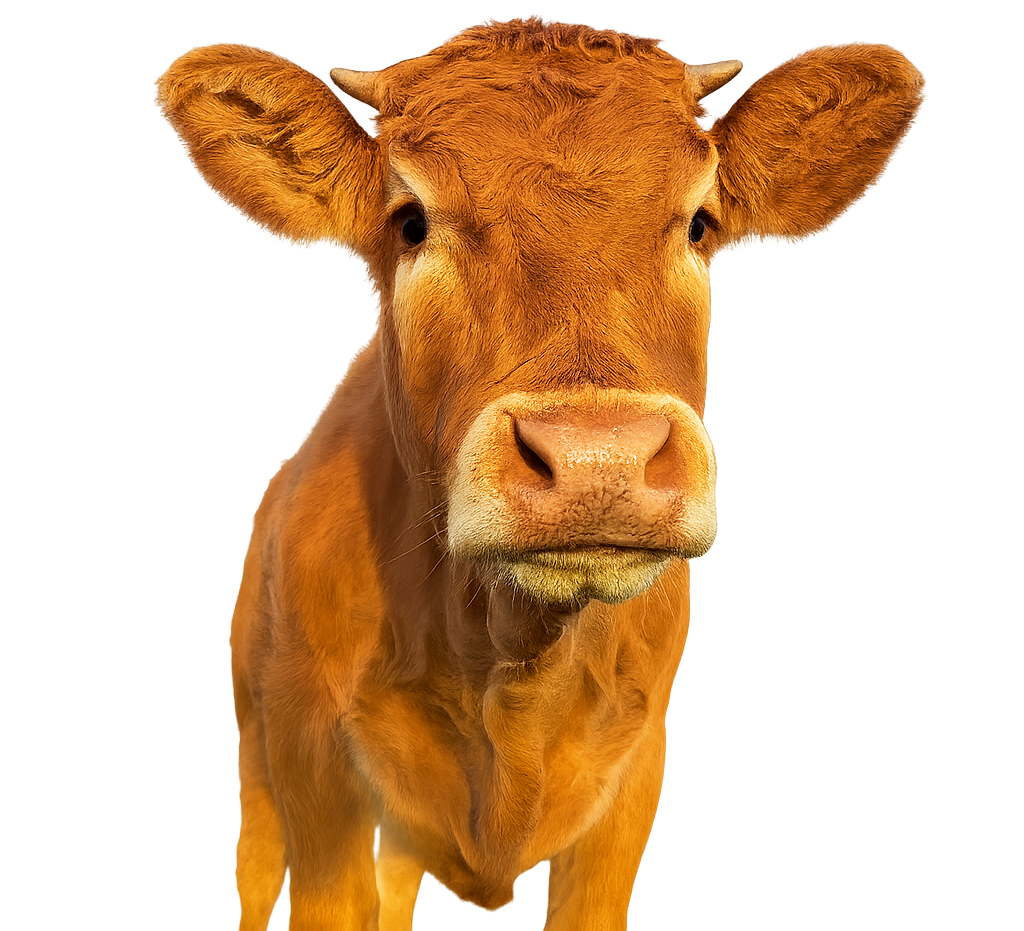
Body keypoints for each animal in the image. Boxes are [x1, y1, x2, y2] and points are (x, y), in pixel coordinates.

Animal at [155, 16, 924, 930]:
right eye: (411, 221)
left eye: (699, 224)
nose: (599, 458)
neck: (509, 654)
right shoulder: (323, 802)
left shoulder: (631, 787)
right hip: (258, 762)